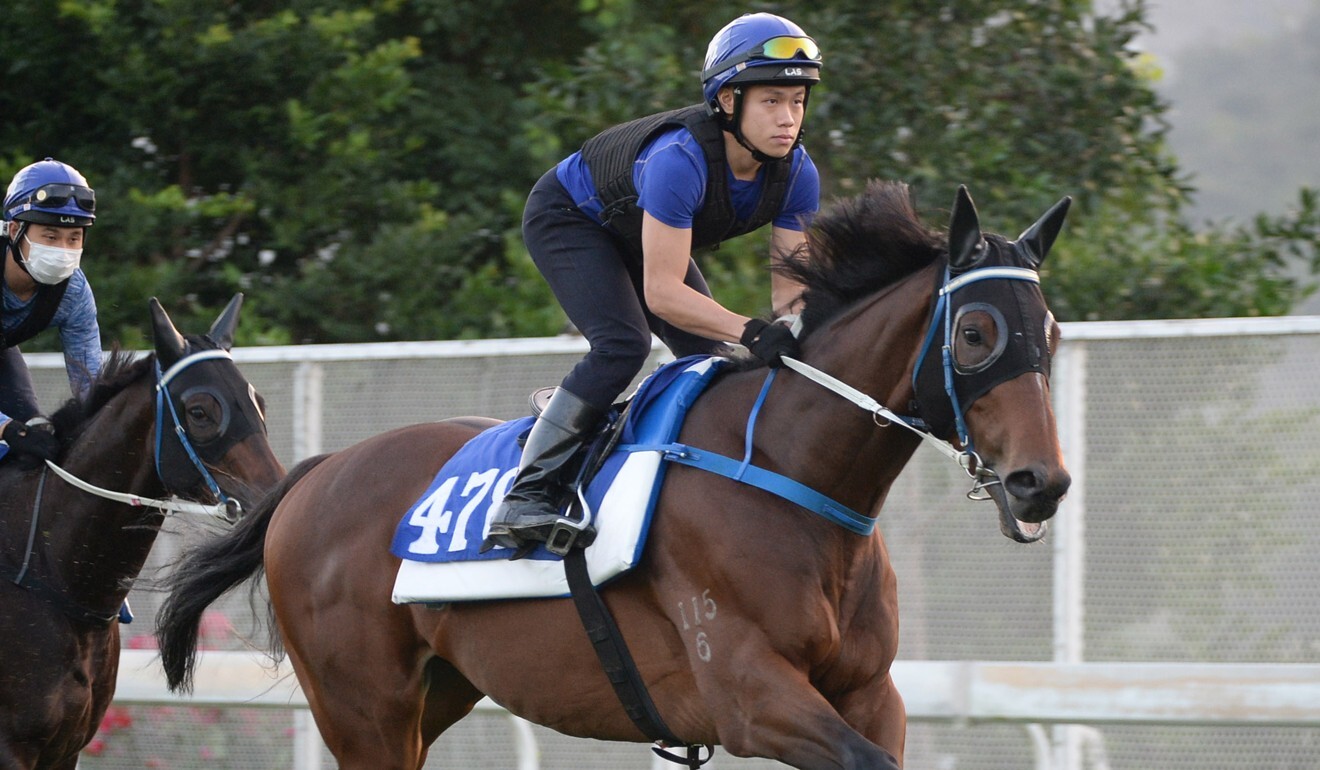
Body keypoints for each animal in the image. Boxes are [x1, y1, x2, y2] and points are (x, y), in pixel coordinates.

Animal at [154, 183, 1071, 766]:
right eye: (977, 332)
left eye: (1053, 332)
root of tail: (314, 477)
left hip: (436, 692)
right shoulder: (753, 696)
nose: (1042, 482)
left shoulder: (870, 695)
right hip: (361, 709)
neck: (790, 472)